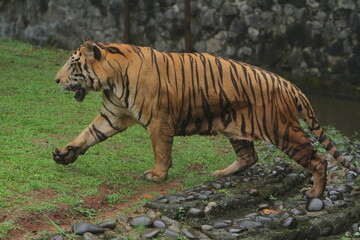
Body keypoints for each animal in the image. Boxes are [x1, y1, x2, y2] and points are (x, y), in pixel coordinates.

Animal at [52, 40, 358, 197]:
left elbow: (161, 151)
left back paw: (315, 193)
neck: (111, 80)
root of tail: (288, 83)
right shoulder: (112, 114)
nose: (56, 80)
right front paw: (65, 154)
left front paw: (157, 175)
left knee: (317, 159)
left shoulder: (158, 121)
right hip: (237, 128)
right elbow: (88, 134)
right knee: (250, 157)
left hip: (281, 129)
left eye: (72, 63)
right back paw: (221, 173)